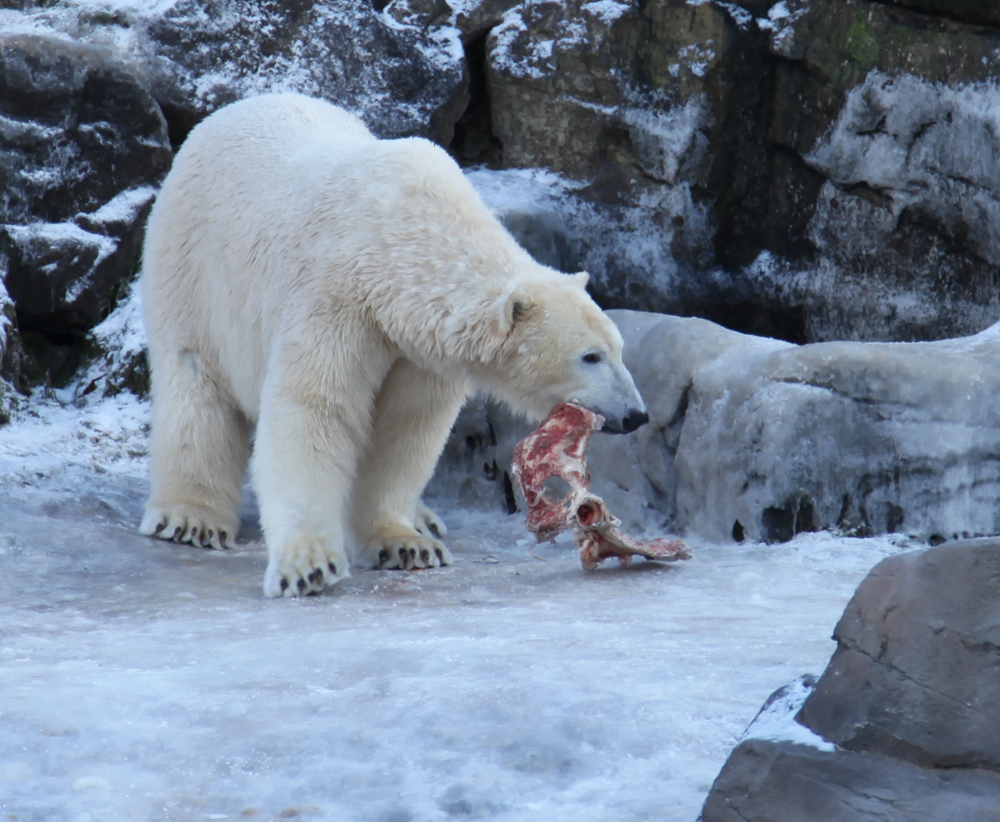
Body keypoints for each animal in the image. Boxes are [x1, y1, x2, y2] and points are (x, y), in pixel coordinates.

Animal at [141, 93, 648, 600]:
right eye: (590, 356)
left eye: (619, 349)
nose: (636, 415)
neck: (399, 245)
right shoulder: (335, 299)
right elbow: (313, 409)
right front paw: (308, 565)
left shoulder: (416, 348)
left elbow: (405, 428)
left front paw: (404, 543)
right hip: (193, 267)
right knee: (194, 380)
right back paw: (191, 517)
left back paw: (424, 519)